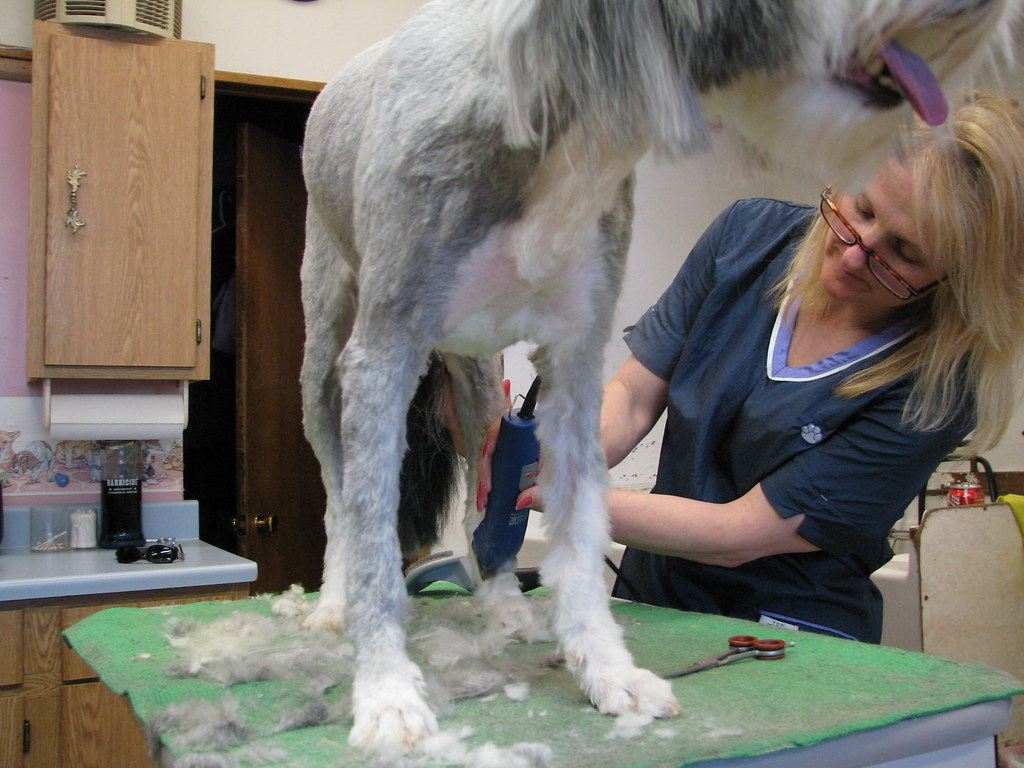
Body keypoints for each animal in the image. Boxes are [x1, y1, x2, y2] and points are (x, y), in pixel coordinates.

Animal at [299, 0, 1015, 753]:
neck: (566, 123)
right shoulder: (385, 354)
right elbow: (375, 541)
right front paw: (387, 693)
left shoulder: (575, 365)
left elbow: (581, 538)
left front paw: (607, 671)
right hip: (328, 350)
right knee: (338, 491)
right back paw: (334, 602)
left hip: (478, 381)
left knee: (478, 492)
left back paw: (502, 602)